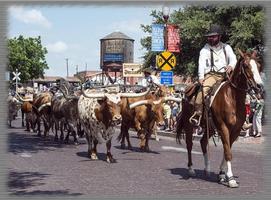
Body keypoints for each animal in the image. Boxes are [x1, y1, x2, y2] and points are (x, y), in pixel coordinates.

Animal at [176, 49, 264, 188]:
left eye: (259, 66)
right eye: (246, 65)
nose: (259, 86)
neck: (232, 98)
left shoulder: (235, 130)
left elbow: (226, 150)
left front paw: (222, 175)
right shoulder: (223, 127)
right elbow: (228, 152)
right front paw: (231, 179)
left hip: (210, 127)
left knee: (203, 142)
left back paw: (207, 169)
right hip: (189, 124)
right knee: (189, 144)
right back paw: (191, 169)